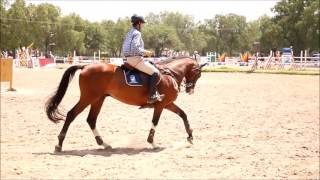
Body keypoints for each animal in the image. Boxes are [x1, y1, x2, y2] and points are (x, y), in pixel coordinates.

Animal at [45, 56, 206, 152]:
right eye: (199, 74)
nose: (190, 90)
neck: (169, 73)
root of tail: (85, 67)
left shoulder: (167, 104)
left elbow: (183, 114)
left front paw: (190, 137)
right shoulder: (160, 105)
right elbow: (155, 122)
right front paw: (152, 142)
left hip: (98, 99)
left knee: (91, 119)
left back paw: (104, 144)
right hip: (88, 98)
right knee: (71, 115)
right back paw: (59, 145)